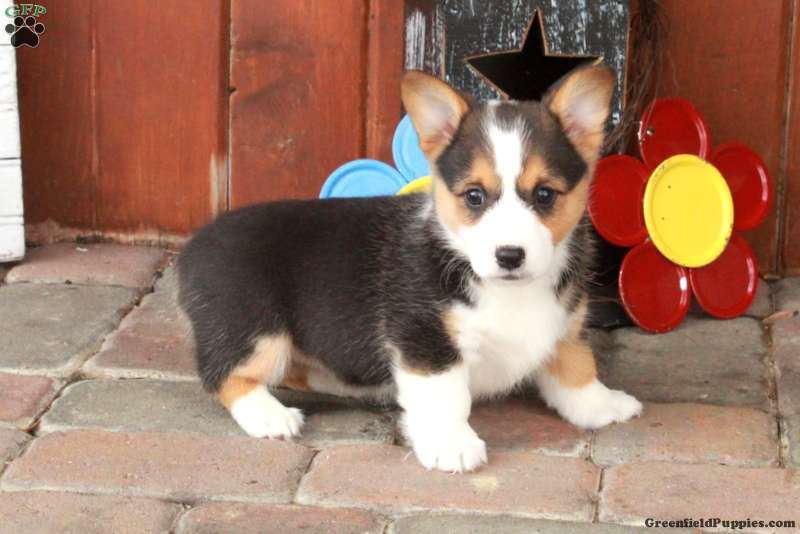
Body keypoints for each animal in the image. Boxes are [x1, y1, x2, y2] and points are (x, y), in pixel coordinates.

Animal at [177, 62, 642, 473]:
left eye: (545, 194)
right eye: (474, 196)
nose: (510, 255)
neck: (506, 288)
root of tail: (192, 248)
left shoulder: (565, 329)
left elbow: (578, 370)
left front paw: (604, 406)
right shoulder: (426, 340)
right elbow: (447, 397)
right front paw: (452, 445)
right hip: (258, 330)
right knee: (225, 375)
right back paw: (270, 416)